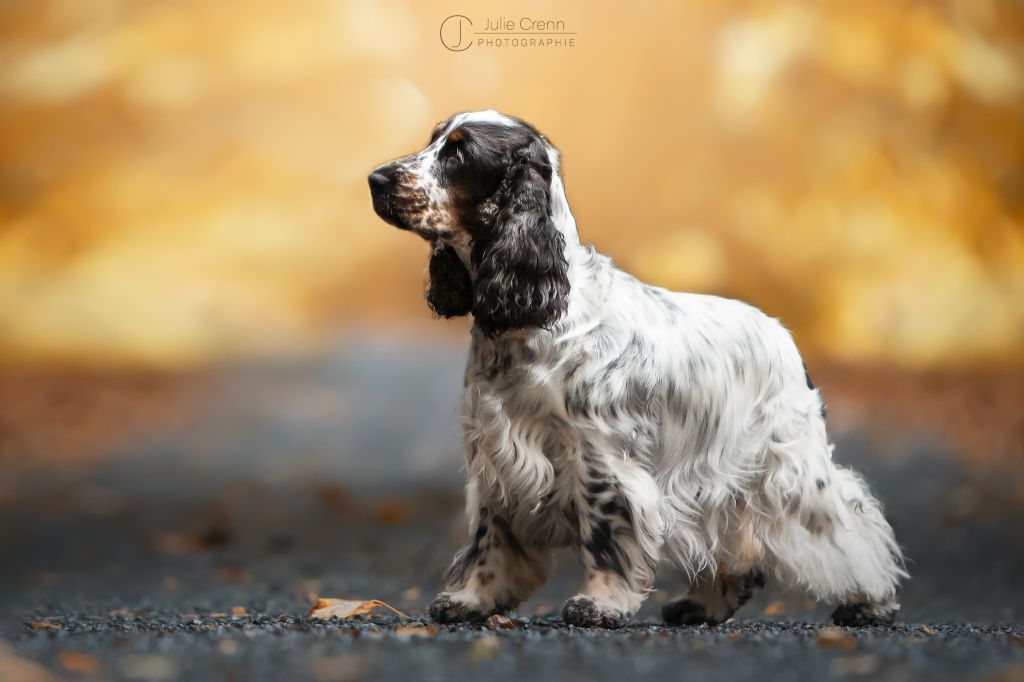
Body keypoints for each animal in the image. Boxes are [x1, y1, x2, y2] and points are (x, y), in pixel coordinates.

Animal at [368, 111, 905, 626]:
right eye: (433, 140)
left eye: (459, 154)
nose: (376, 178)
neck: (535, 319)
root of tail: (781, 333)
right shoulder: (496, 458)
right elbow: (491, 537)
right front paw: (471, 599)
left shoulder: (603, 461)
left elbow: (605, 535)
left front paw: (600, 604)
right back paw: (700, 607)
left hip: (788, 467)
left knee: (850, 524)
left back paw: (871, 602)